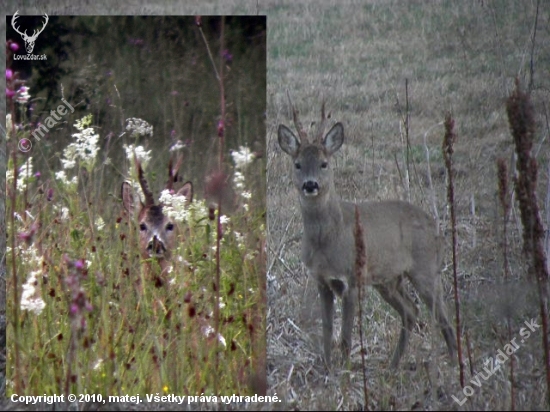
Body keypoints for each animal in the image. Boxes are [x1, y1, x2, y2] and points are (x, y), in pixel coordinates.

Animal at [278, 104, 460, 368]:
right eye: (298, 164)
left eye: (324, 163)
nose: (310, 185)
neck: (329, 240)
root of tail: (438, 230)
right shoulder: (321, 280)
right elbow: (326, 330)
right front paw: (327, 367)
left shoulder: (352, 278)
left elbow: (345, 336)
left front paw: (345, 370)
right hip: (389, 280)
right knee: (411, 311)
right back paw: (393, 366)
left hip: (425, 269)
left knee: (442, 316)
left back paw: (455, 363)